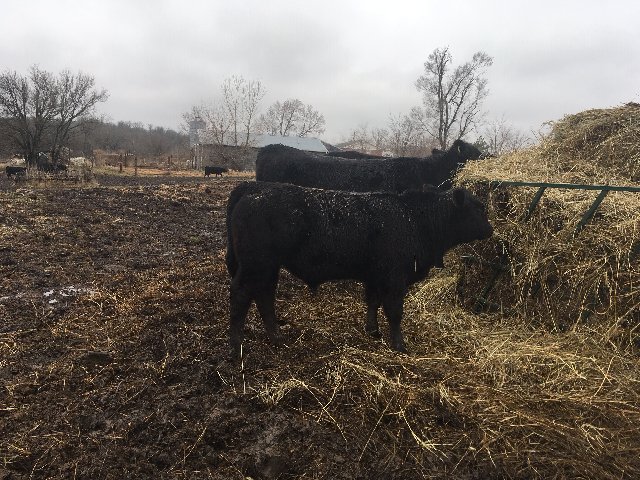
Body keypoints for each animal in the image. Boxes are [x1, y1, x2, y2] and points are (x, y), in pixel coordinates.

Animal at [226, 181, 493, 357]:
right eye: (479, 207)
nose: (490, 230)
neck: (415, 218)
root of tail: (254, 188)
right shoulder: (394, 279)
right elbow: (395, 312)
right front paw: (400, 345)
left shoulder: (375, 276)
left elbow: (373, 302)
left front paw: (372, 330)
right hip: (256, 265)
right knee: (241, 295)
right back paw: (236, 344)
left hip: (268, 267)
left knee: (264, 296)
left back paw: (277, 337)